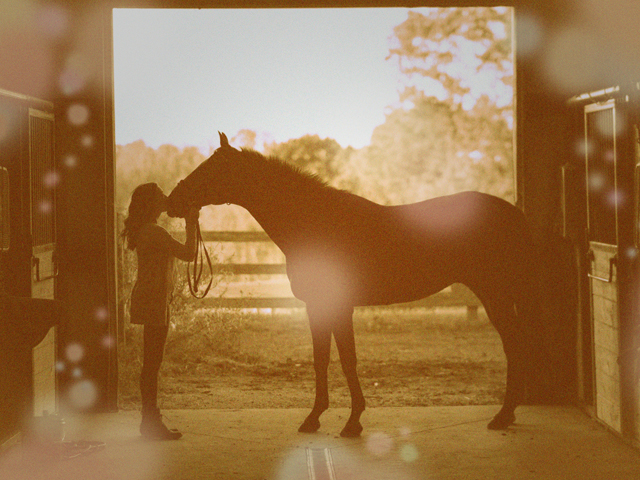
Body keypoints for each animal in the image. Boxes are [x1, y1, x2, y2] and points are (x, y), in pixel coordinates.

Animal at [168, 131, 536, 438]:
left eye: (211, 169)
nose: (173, 201)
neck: (315, 224)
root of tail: (513, 213)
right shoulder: (317, 307)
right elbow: (321, 359)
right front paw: (315, 418)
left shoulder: (339, 306)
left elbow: (347, 360)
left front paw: (352, 421)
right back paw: (509, 414)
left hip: (494, 294)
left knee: (515, 346)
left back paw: (503, 416)